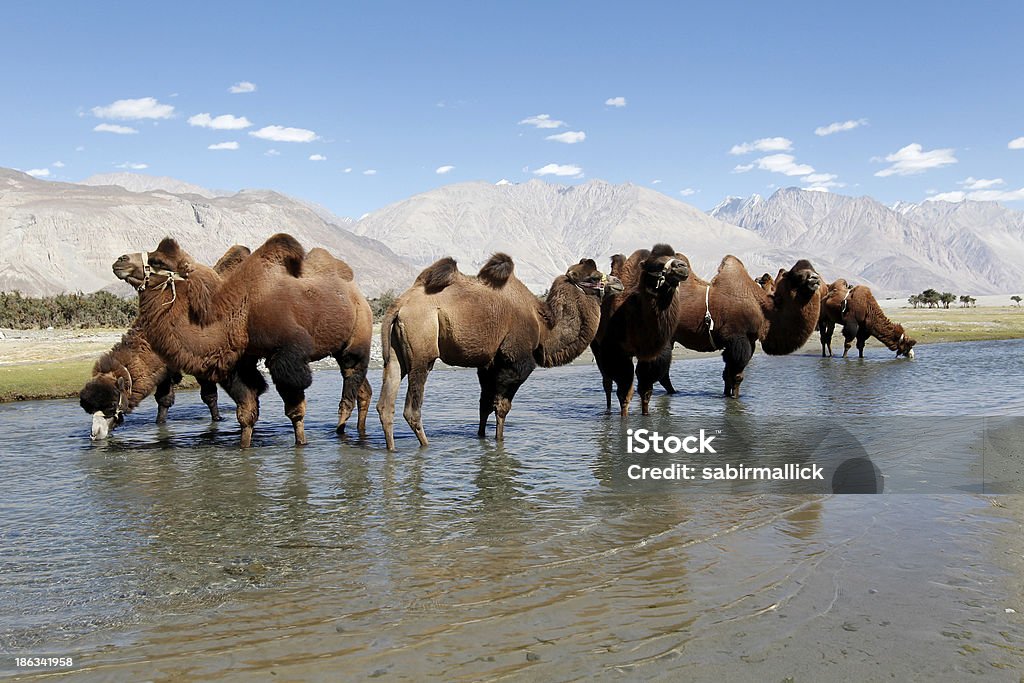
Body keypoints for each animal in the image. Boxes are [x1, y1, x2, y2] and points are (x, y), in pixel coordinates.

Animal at [78, 242, 252, 440]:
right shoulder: (165, 369)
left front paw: (217, 421)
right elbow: (163, 400)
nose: (95, 434)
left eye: (112, 403)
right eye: (88, 409)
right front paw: (160, 426)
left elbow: (209, 397)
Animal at [116, 235, 372, 448]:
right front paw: (244, 448)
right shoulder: (239, 362)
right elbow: (246, 413)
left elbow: (295, 412)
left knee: (350, 382)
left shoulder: (286, 357)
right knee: (362, 390)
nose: (120, 260)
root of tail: (357, 295)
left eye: (158, 261)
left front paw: (301, 444)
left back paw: (343, 434)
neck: (239, 314)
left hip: (357, 335)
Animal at [374, 250, 618, 448]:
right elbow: (502, 407)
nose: (618, 283)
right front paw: (499, 441)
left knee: (386, 403)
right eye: (595, 277)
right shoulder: (515, 361)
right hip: (422, 349)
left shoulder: (489, 364)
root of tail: (400, 304)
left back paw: (392, 449)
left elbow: (484, 405)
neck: (543, 325)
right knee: (412, 408)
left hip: (396, 354)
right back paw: (425, 447)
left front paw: (482, 439)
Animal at [589, 245, 692, 417]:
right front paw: (624, 418)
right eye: (657, 264)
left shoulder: (652, 355)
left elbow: (645, 391)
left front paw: (646, 416)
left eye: (675, 256)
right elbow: (624, 393)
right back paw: (608, 411)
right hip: (597, 345)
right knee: (607, 382)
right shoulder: (617, 352)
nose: (682, 266)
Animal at [647, 252, 823, 401]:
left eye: (814, 270)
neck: (763, 309)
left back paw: (673, 392)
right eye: (797, 275)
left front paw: (727, 395)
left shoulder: (746, 341)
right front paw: (735, 399)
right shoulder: (738, 339)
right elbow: (737, 376)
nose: (815, 279)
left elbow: (727, 374)